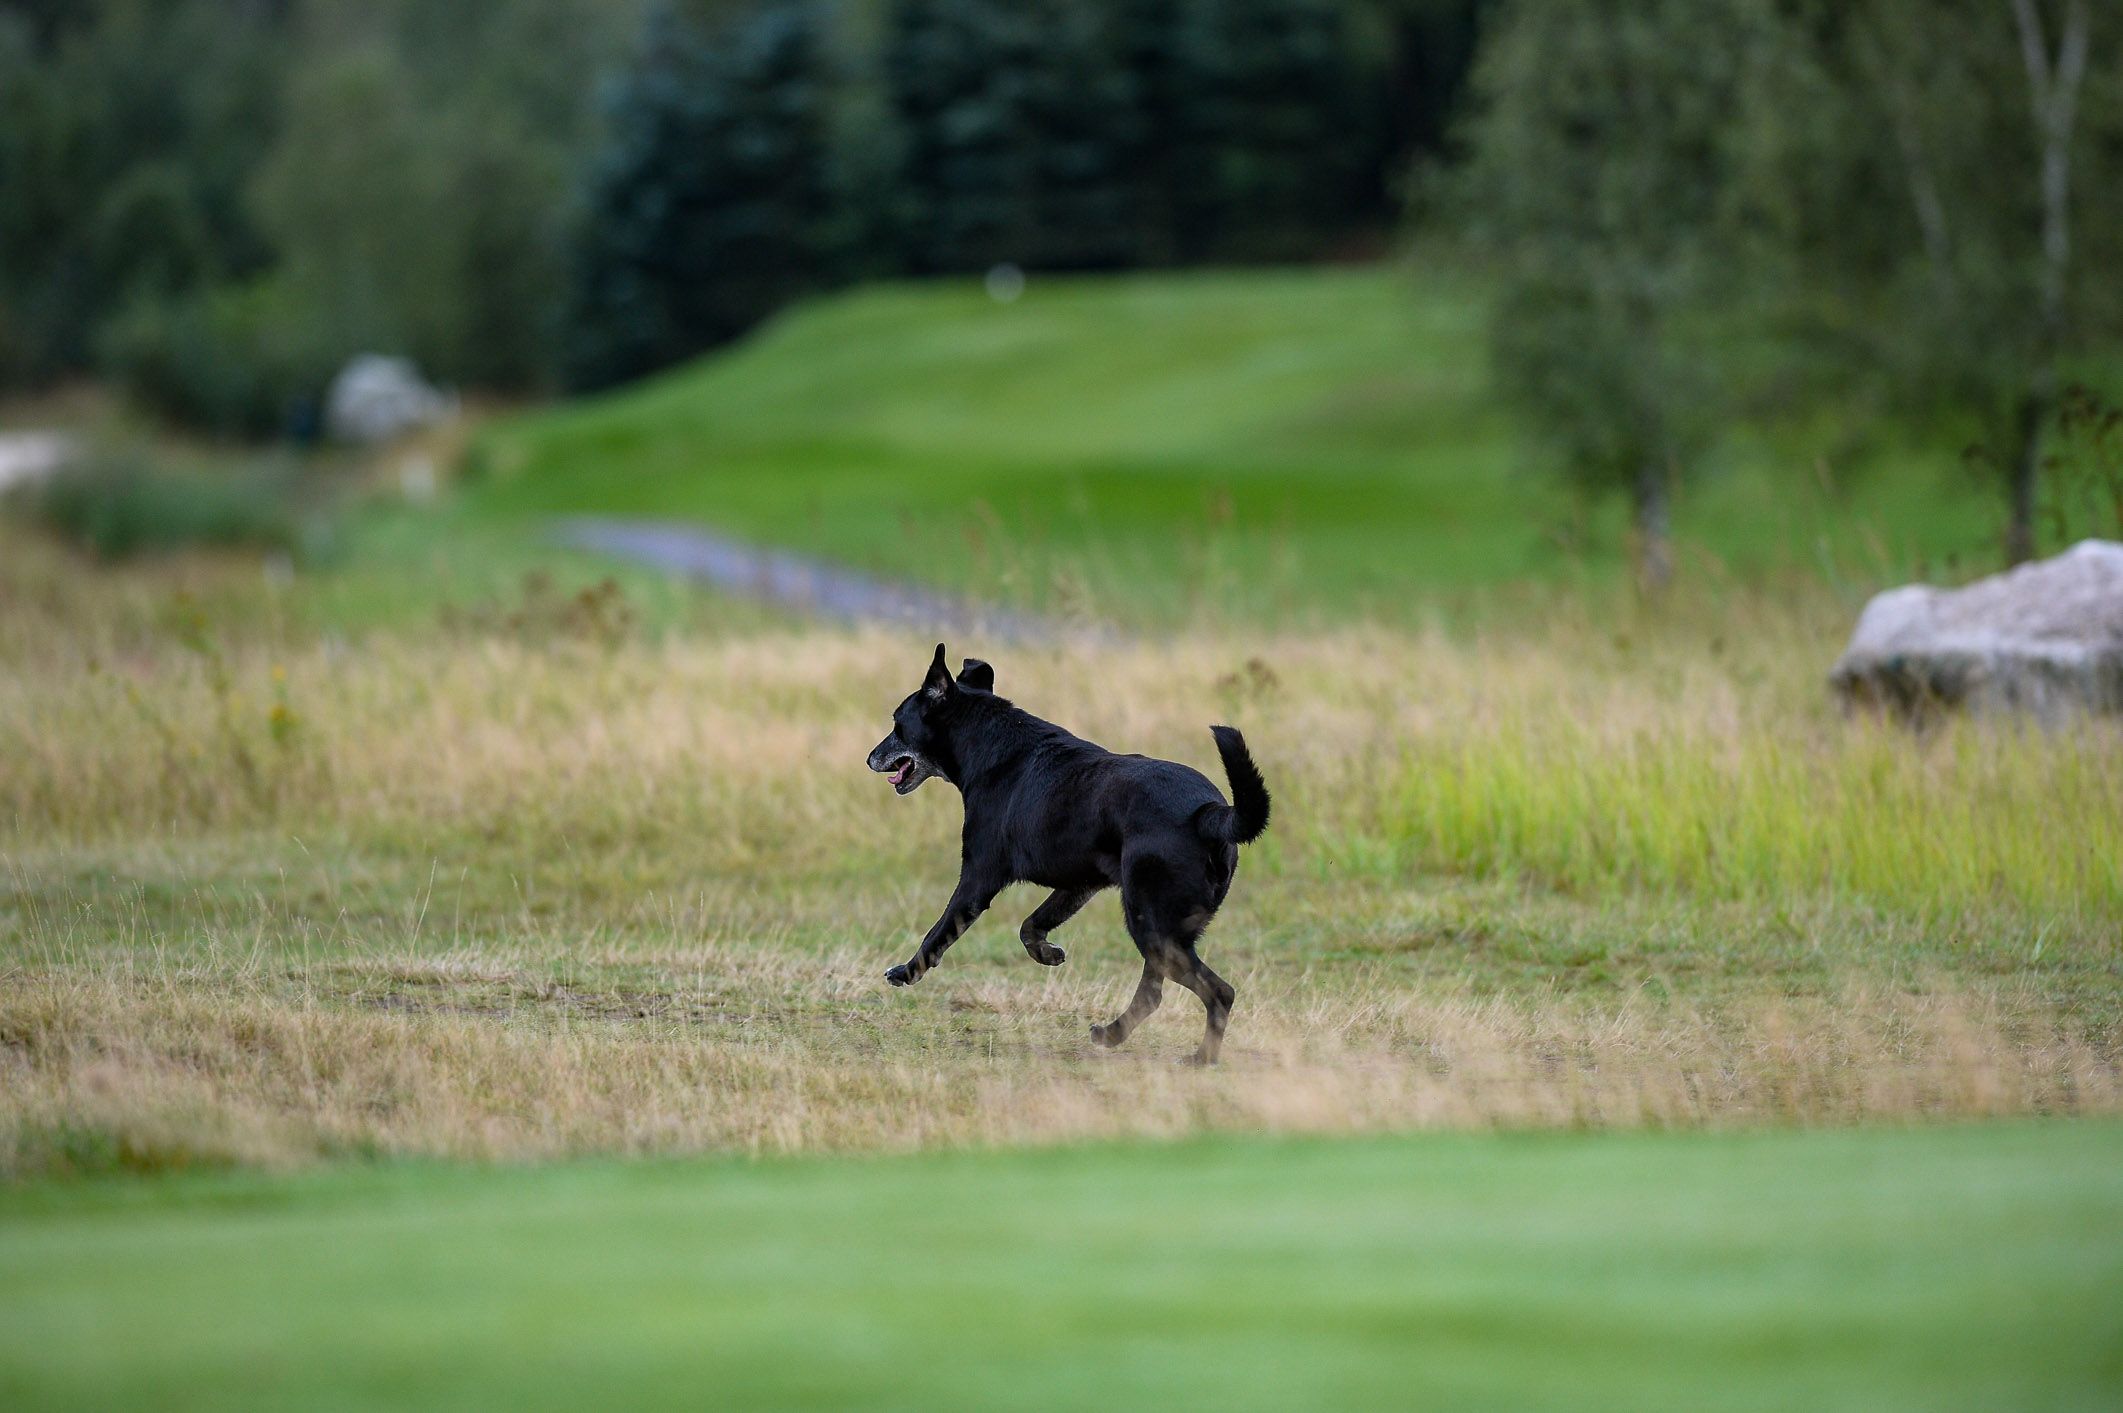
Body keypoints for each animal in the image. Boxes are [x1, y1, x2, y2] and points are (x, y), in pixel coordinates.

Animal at [866, 644, 1270, 1064]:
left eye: (898, 724)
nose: (869, 757)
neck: (989, 745)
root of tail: (1211, 813)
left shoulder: (977, 879)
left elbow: (937, 934)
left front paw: (906, 972)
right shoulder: (1081, 883)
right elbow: (1030, 925)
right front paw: (1048, 954)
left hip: (1150, 922)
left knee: (1219, 991)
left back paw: (1200, 1056)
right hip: (1159, 927)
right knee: (1156, 992)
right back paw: (1113, 1035)